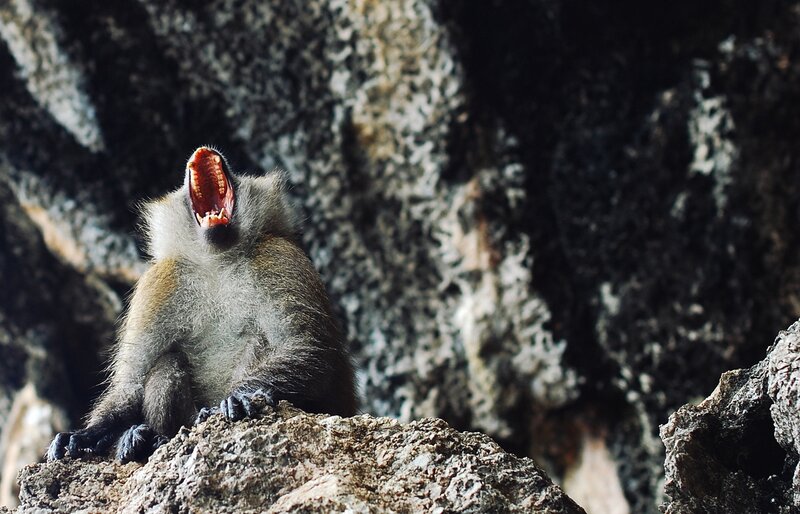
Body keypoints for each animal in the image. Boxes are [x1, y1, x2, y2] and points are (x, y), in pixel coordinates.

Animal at [47, 146, 356, 463]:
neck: (218, 260)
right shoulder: (160, 282)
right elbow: (132, 382)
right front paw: (88, 434)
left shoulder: (278, 257)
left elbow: (309, 349)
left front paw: (241, 395)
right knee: (166, 364)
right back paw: (152, 437)